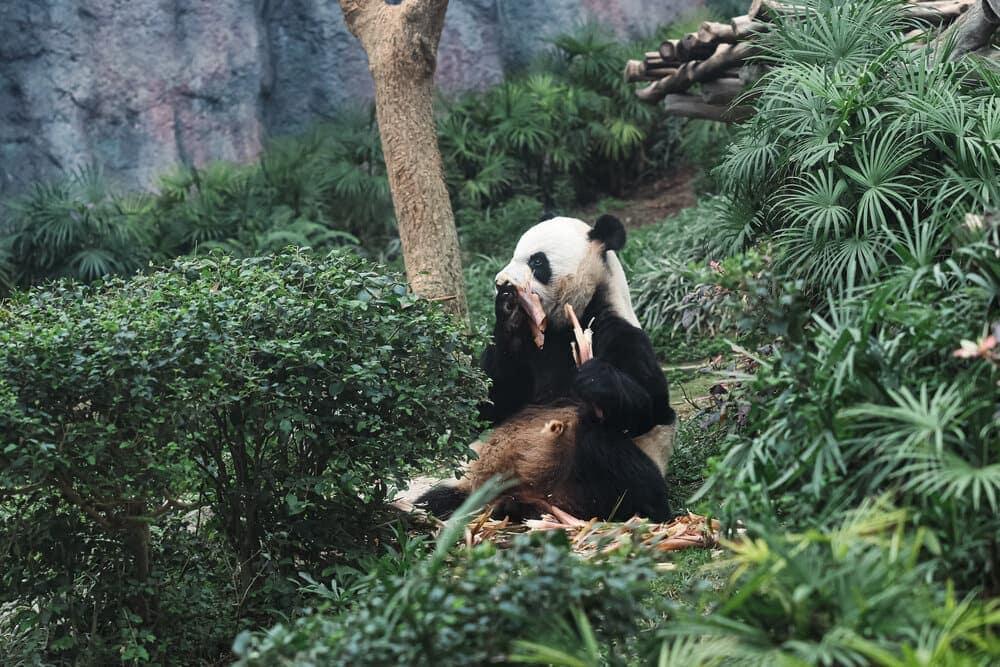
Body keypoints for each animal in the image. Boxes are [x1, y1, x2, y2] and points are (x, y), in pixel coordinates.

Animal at [417, 214, 676, 522]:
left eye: (537, 262)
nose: (501, 283)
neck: (563, 324)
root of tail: (535, 498)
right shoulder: (530, 348)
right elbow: (490, 405)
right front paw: (508, 307)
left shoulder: (618, 333)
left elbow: (652, 410)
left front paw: (596, 378)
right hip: (472, 483)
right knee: (436, 499)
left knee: (602, 446)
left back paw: (646, 510)